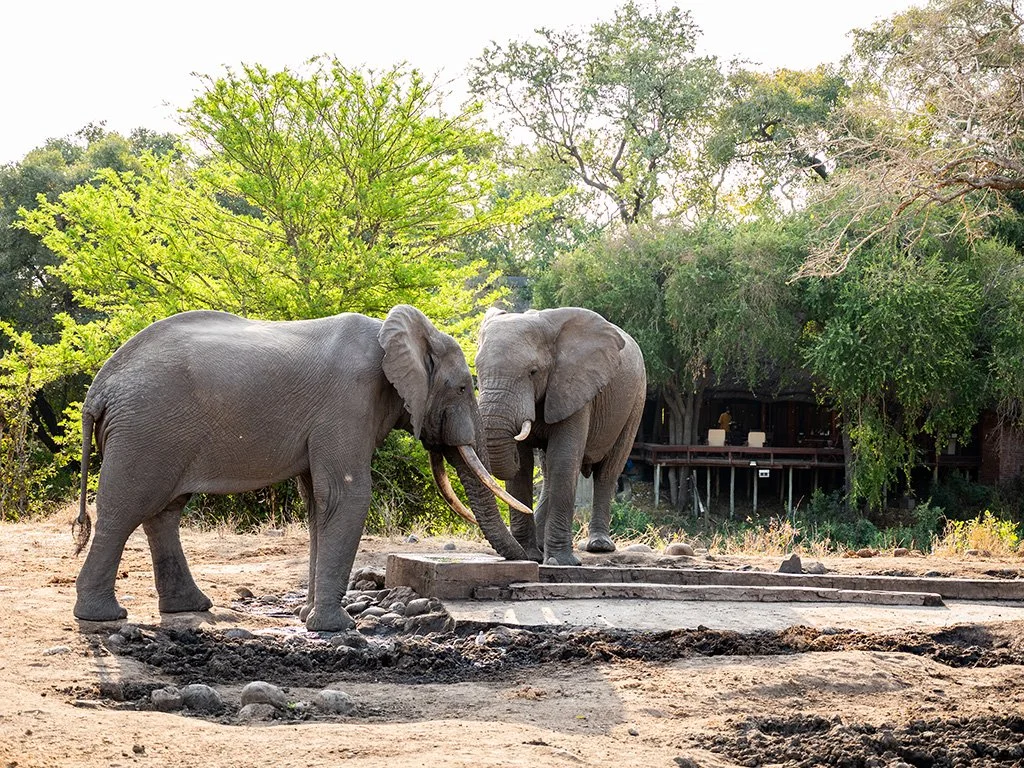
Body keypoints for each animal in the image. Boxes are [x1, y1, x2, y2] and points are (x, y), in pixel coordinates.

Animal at [72, 305, 529, 631]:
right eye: (464, 387)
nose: (528, 562)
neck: (398, 333)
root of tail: (99, 389)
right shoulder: (348, 402)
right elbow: (347, 496)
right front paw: (336, 628)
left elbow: (317, 505)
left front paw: (308, 618)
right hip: (145, 430)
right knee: (125, 509)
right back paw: (102, 616)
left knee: (163, 512)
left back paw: (189, 606)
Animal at [475, 307, 646, 565]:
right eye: (477, 369)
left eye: (533, 372)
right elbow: (523, 466)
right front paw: (529, 556)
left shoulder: (574, 386)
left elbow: (564, 460)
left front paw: (560, 562)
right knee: (548, 474)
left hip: (636, 400)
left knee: (608, 471)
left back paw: (599, 546)